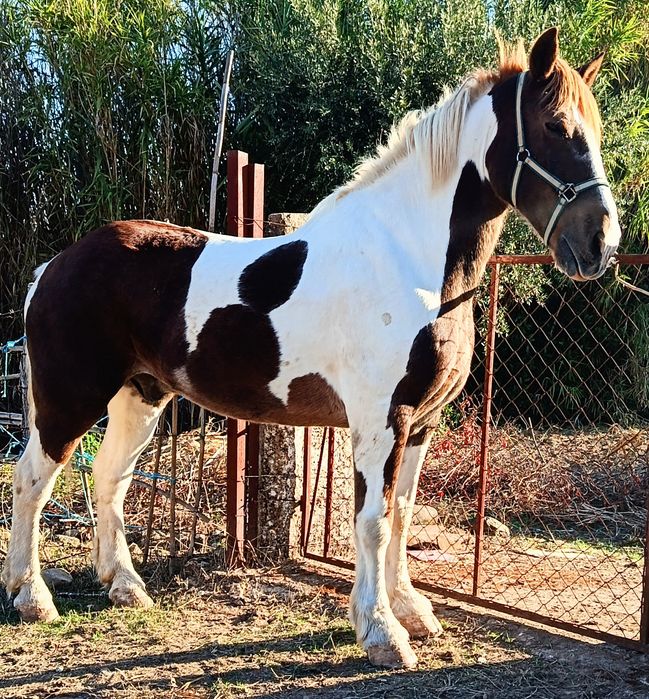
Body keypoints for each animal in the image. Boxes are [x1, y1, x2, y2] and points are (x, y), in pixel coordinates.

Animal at [2, 27, 620, 668]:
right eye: (556, 126)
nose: (600, 243)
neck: (407, 260)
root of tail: (55, 266)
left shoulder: (421, 422)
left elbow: (402, 517)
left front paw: (411, 612)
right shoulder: (382, 419)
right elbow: (373, 521)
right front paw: (381, 633)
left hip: (140, 395)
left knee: (109, 477)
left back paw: (124, 586)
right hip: (71, 399)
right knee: (32, 480)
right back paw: (32, 597)